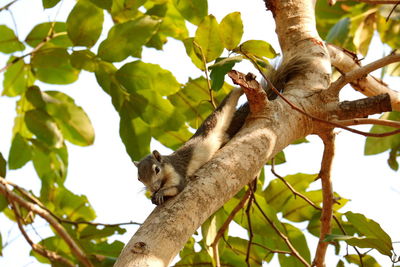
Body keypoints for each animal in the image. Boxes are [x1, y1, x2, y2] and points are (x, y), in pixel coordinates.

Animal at [135, 57, 310, 206]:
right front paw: (154, 195)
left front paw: (161, 193)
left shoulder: (176, 172)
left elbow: (178, 187)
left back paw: (243, 83)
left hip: (222, 112)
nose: (153, 188)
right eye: (139, 178)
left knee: (233, 94)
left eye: (156, 170)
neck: (166, 167)